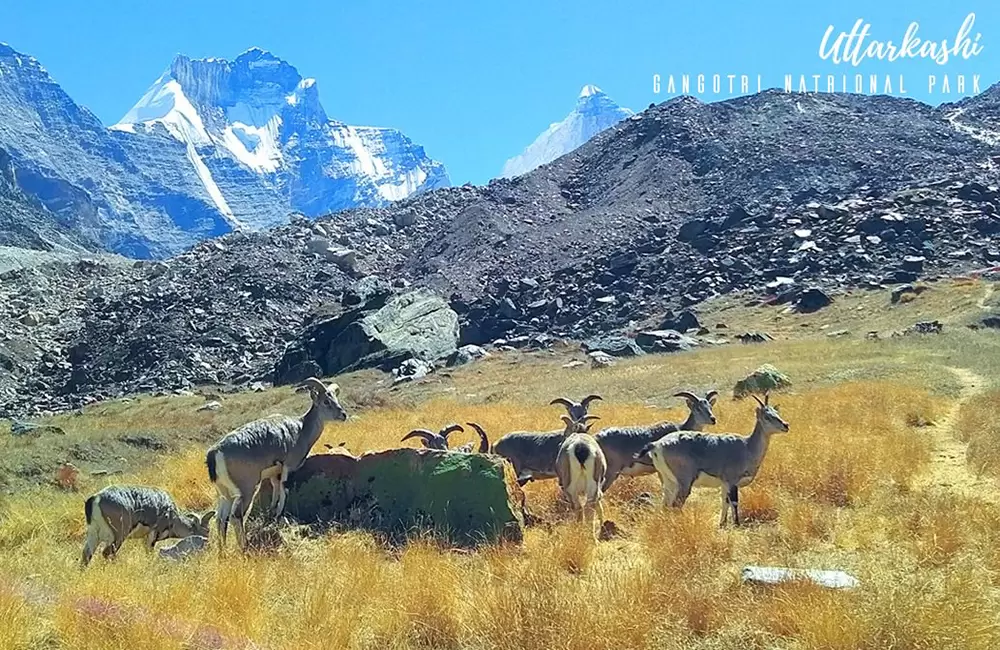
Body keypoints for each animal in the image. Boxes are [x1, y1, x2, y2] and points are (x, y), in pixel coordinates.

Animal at [81, 480, 214, 568]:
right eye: (207, 530)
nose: (207, 544)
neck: (172, 515)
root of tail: (95, 499)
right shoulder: (152, 535)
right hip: (118, 536)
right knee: (107, 553)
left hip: (94, 534)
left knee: (86, 554)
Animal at [203, 374, 348, 552]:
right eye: (326, 401)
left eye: (335, 398)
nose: (343, 414)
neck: (301, 429)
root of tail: (215, 452)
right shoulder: (287, 467)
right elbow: (284, 491)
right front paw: (279, 514)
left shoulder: (274, 474)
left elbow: (276, 490)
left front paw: (272, 512)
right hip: (246, 490)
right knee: (236, 516)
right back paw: (244, 547)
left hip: (223, 493)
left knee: (220, 519)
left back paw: (222, 551)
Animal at [640, 390, 788, 528]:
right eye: (767, 416)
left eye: (776, 412)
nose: (785, 425)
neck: (747, 446)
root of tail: (657, 444)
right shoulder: (732, 482)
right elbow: (734, 502)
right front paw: (736, 524)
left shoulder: (724, 484)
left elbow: (725, 502)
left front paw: (722, 524)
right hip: (684, 483)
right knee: (676, 504)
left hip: (669, 482)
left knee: (666, 504)